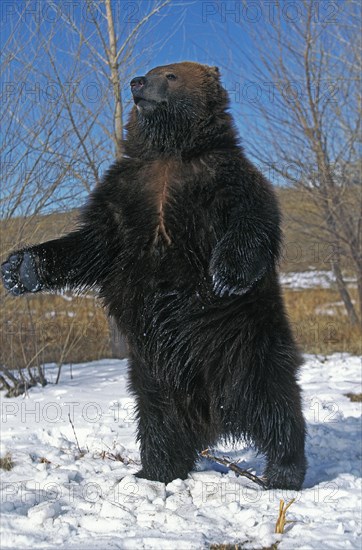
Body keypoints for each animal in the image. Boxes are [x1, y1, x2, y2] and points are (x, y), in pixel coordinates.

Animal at [1, 61, 306, 492]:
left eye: (171, 75)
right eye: (151, 70)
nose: (137, 82)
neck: (169, 152)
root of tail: (216, 414)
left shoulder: (222, 176)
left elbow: (251, 216)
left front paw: (226, 274)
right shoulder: (127, 192)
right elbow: (93, 241)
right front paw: (20, 268)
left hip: (248, 349)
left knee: (277, 407)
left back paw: (282, 473)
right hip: (152, 372)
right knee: (159, 420)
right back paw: (154, 471)